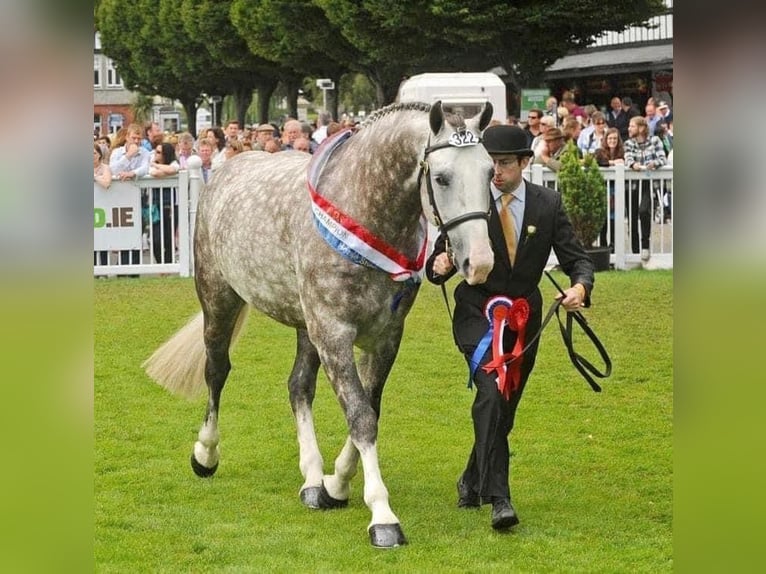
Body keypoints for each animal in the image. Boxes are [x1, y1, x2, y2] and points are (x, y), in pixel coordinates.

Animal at [144, 100, 496, 548]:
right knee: (217, 371)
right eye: (442, 177)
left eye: (489, 171)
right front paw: (382, 516)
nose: (479, 262)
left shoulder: (385, 338)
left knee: (298, 386)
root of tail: (223, 169)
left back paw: (312, 478)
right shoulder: (334, 335)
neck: (363, 210)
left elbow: (368, 408)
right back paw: (205, 453)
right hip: (219, 300)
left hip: (303, 325)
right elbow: (360, 416)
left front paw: (336, 484)